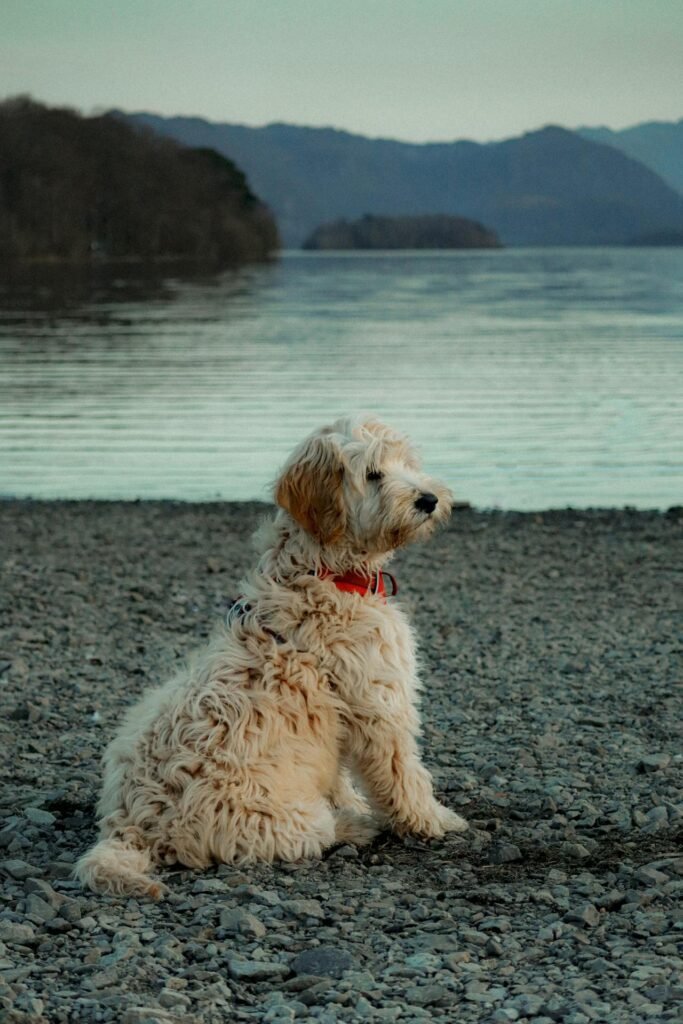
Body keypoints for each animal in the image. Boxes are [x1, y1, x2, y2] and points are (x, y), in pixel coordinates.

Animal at [76, 415, 471, 897]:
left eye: (407, 463)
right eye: (374, 473)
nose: (428, 499)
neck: (324, 572)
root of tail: (131, 827)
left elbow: (338, 774)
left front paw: (360, 802)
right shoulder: (379, 705)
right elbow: (403, 774)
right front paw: (433, 821)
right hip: (280, 817)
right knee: (314, 832)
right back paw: (353, 827)